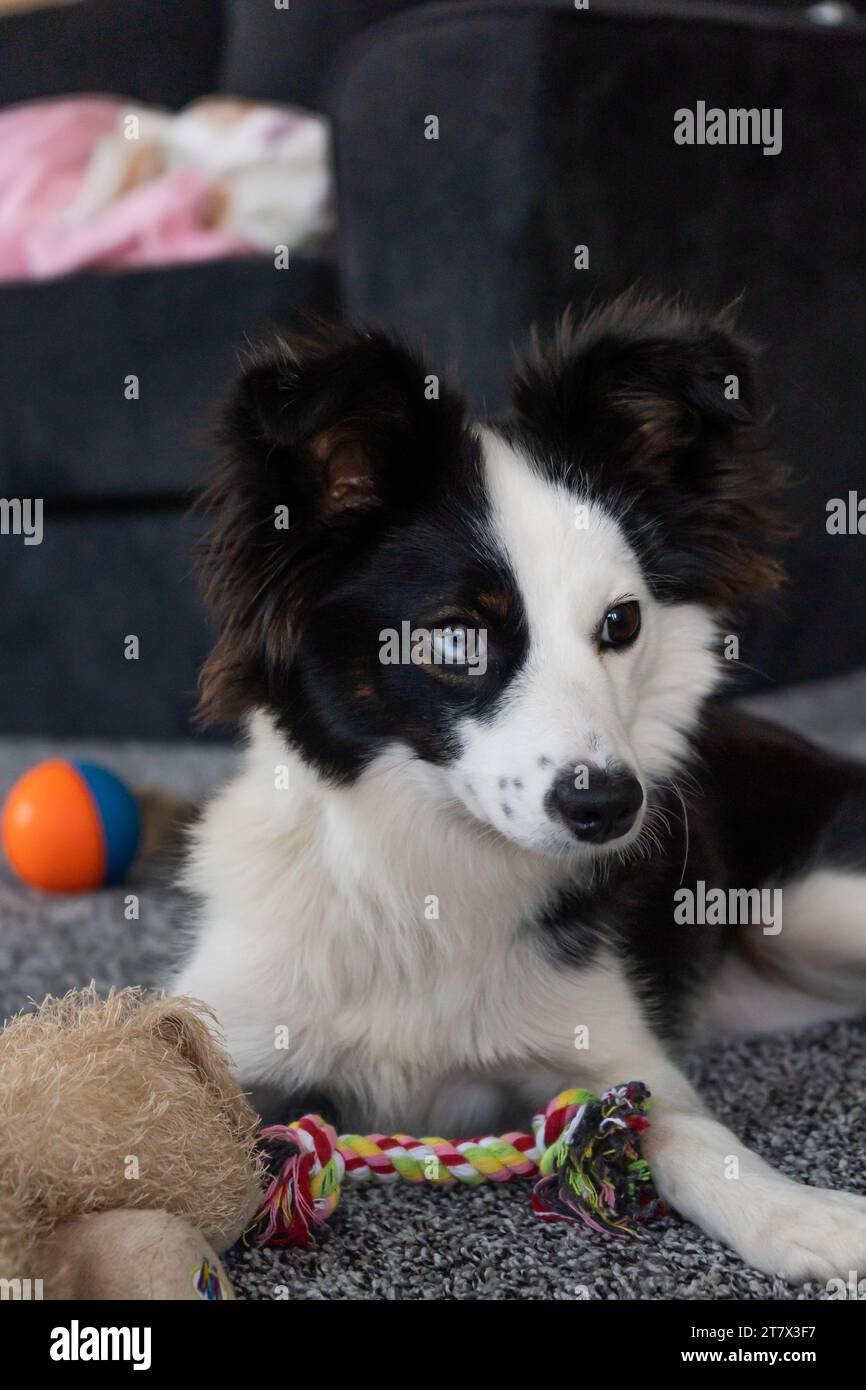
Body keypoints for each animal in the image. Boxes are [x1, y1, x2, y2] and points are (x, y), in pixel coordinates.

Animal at [173, 296, 866, 1278]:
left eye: (622, 622)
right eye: (455, 637)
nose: (608, 807)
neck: (429, 870)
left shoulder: (610, 1051)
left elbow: (685, 1132)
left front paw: (796, 1214)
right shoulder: (234, 1027)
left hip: (814, 908)